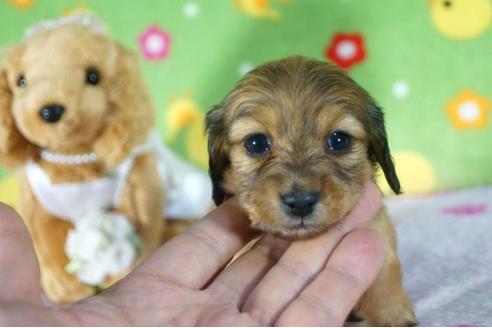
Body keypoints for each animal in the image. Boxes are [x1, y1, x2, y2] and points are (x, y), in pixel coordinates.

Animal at [206, 56, 418, 326]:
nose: (300, 203)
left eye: (339, 140)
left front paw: (391, 313)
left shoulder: (376, 227)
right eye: (256, 143)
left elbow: (385, 270)